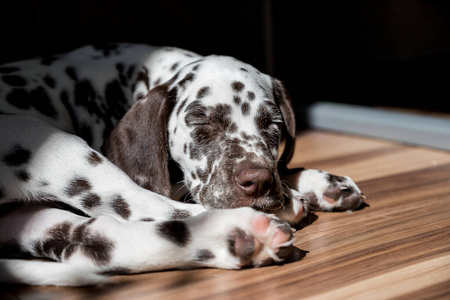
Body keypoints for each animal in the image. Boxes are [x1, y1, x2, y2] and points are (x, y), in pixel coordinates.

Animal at [0, 44, 366, 286]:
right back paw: (256, 218)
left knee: (102, 240)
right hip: (43, 139)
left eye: (272, 123)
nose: (258, 182)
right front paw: (297, 190)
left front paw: (320, 182)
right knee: (147, 207)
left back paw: (237, 237)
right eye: (201, 122)